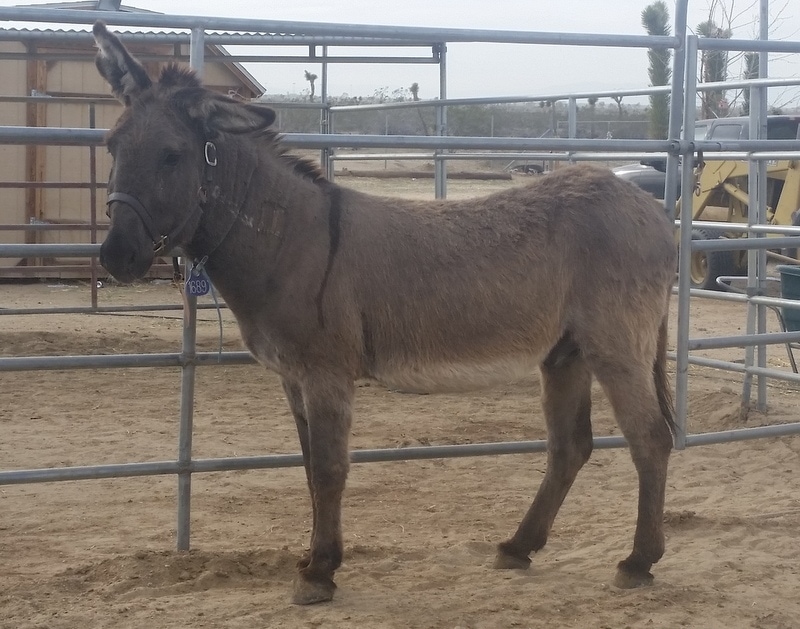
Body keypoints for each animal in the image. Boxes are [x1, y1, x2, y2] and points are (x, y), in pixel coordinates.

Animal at [93, 21, 677, 605]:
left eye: (172, 155)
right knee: (569, 447)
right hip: (564, 353)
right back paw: (518, 546)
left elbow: (329, 469)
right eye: (112, 145)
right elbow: (308, 466)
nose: (115, 257)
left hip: (616, 345)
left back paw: (638, 561)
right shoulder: (292, 377)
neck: (288, 239)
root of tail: (651, 209)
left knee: (650, 437)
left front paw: (319, 572)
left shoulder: (326, 373)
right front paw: (312, 558)